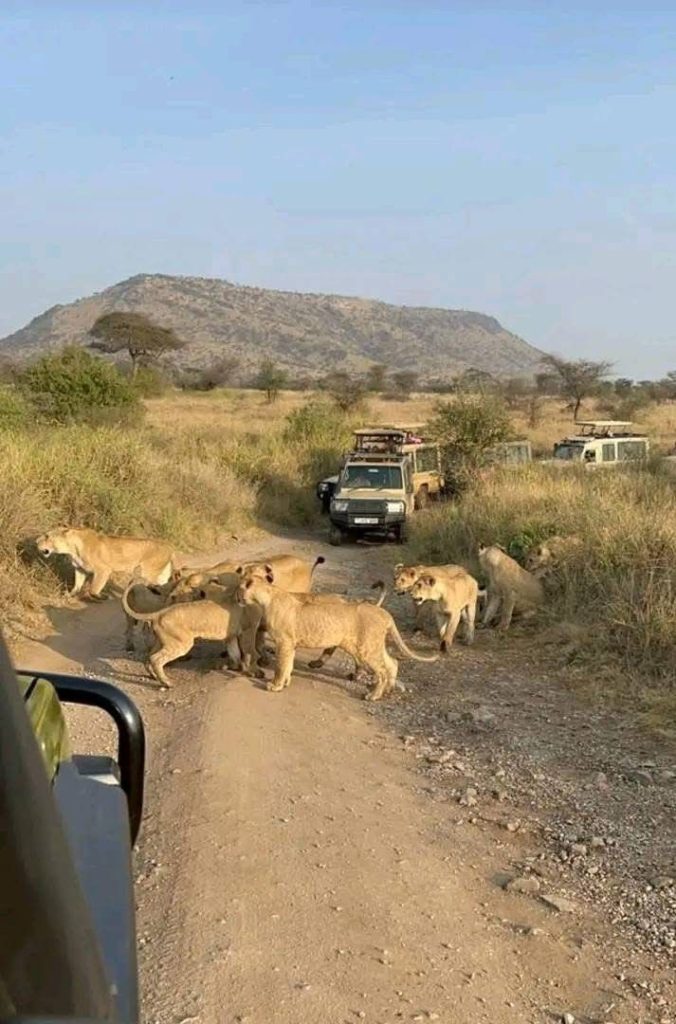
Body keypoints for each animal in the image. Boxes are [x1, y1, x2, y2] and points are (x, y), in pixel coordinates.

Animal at [36, 527, 175, 599]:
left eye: (47, 536)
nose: (36, 541)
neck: (72, 549)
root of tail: (169, 547)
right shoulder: (80, 569)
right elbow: (77, 585)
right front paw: (70, 595)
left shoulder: (103, 570)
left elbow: (93, 588)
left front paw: (100, 597)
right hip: (159, 573)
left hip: (149, 572)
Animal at [121, 579, 263, 687]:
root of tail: (158, 613)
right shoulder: (248, 630)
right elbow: (250, 652)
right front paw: (254, 672)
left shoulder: (231, 636)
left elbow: (236, 653)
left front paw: (234, 667)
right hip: (181, 644)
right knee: (156, 659)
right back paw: (167, 682)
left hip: (164, 642)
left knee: (149, 657)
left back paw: (154, 676)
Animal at [236, 576, 437, 701]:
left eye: (239, 588)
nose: (236, 597)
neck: (267, 596)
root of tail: (383, 612)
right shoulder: (290, 644)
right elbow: (288, 666)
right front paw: (285, 684)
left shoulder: (284, 642)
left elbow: (280, 666)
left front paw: (275, 685)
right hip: (373, 645)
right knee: (392, 662)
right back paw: (387, 690)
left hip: (365, 648)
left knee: (381, 670)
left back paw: (373, 696)